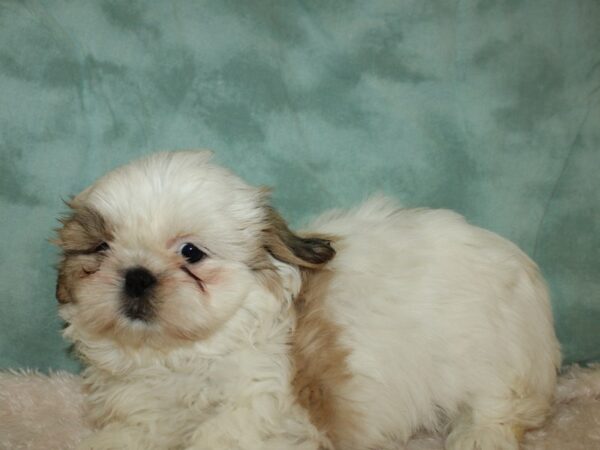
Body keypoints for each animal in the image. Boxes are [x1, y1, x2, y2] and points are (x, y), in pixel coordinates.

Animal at [56, 151, 564, 450]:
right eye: (101, 248)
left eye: (191, 253)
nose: (137, 276)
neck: (183, 353)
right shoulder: (145, 406)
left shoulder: (262, 403)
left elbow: (222, 435)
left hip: (490, 358)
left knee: (498, 406)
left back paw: (479, 435)